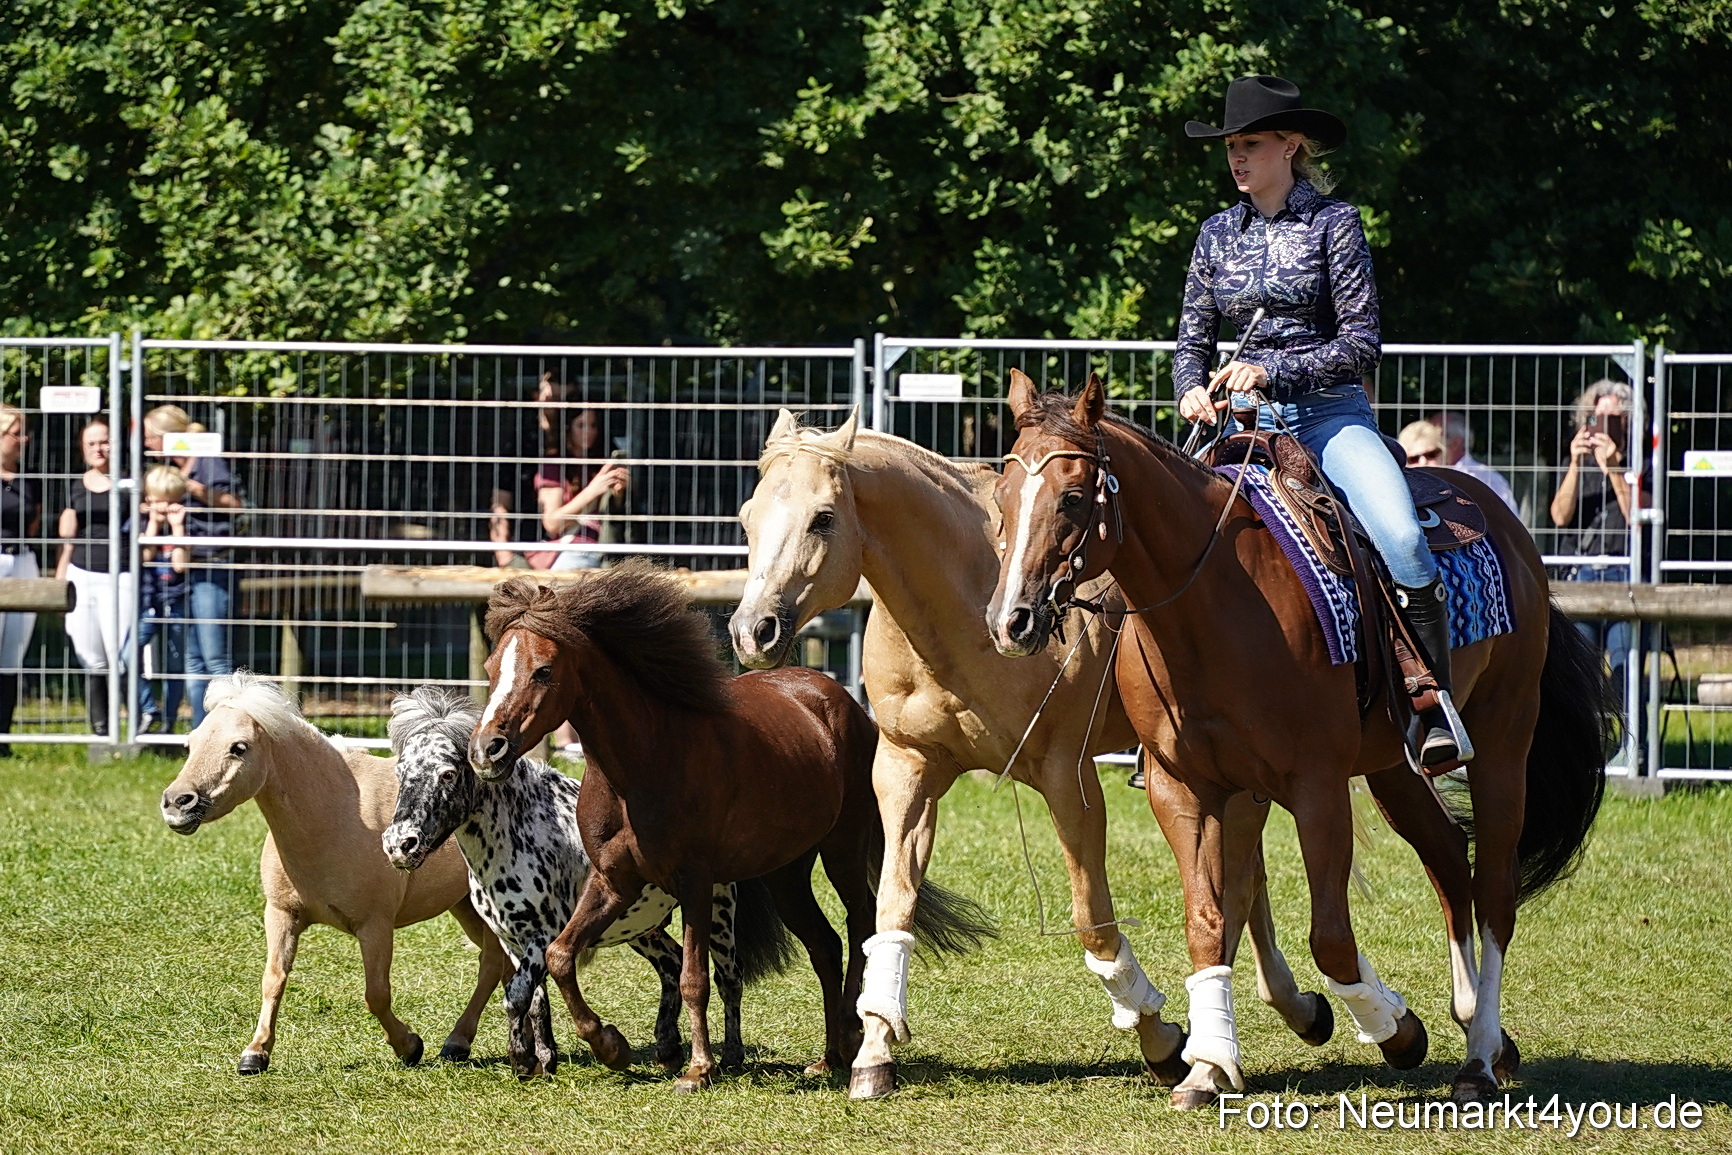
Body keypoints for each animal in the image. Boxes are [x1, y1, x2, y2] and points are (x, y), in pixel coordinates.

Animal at [157, 673, 511, 1074]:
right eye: (191, 743)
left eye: (239, 747)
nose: (176, 803)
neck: (332, 815)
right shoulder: (281, 915)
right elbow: (273, 980)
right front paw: (255, 1053)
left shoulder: (375, 927)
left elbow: (376, 993)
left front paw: (409, 1046)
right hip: (465, 906)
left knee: (494, 963)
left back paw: (458, 1042)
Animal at [381, 686, 794, 1077]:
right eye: (400, 773)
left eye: (448, 773)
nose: (400, 844)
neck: (519, 832)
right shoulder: (513, 940)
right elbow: (534, 1000)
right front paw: (545, 1061)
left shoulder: (542, 936)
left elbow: (517, 995)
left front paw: (524, 1062)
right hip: (641, 925)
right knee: (672, 964)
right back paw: (667, 1050)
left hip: (715, 910)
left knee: (729, 976)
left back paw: (730, 1056)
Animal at [468, 562, 996, 1091]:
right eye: (490, 668)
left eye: (543, 670)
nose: (486, 750)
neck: (640, 765)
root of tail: (837, 698)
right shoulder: (614, 882)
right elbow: (561, 954)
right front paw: (610, 1046)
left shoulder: (695, 883)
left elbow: (693, 978)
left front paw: (697, 1068)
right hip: (786, 874)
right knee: (825, 945)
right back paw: (828, 1057)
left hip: (843, 849)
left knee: (860, 922)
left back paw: (851, 1040)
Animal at [731, 408, 1359, 1099]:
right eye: (748, 516)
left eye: (823, 518)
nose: (753, 631)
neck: (970, 608)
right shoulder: (905, 772)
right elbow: (892, 908)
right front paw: (873, 1055)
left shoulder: (1068, 781)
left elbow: (1094, 921)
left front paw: (1160, 1039)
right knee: (1248, 878)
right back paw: (1294, 1012)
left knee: (1243, 882)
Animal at [986, 372, 1614, 1106]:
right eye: (1002, 497)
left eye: (1073, 497)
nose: (1011, 620)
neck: (1213, 602)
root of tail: (1505, 520)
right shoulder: (1183, 787)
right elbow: (1208, 921)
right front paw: (1207, 1064)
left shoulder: (1315, 787)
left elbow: (1331, 938)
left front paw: (1397, 1029)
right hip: (1394, 766)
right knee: (1447, 856)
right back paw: (1475, 1024)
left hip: (1503, 741)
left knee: (1493, 890)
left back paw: (1480, 1054)